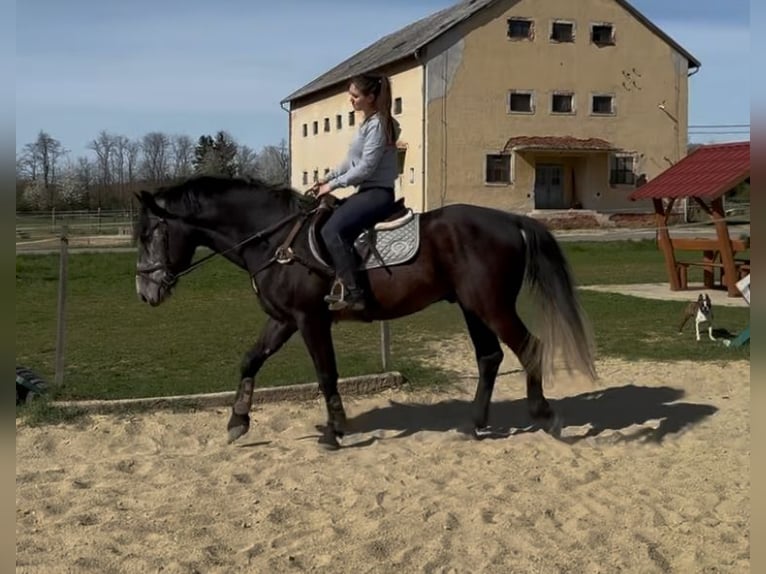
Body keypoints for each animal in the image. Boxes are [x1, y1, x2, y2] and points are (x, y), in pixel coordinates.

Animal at [134, 175, 596, 449]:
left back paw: (543, 414)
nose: (144, 291)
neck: (277, 241)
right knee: (490, 356)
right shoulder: (282, 320)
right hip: (472, 307)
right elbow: (250, 361)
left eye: (150, 234)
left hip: (492, 305)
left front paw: (335, 430)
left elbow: (326, 373)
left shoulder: (309, 319)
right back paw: (474, 424)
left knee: (528, 346)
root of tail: (509, 220)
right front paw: (237, 421)